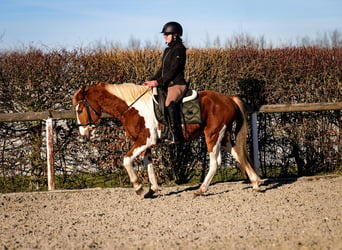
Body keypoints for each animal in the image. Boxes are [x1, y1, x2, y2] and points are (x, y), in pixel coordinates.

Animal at [73, 82, 262, 197]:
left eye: (80, 109)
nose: (83, 133)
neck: (133, 108)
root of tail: (228, 98)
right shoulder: (146, 144)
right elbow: (148, 165)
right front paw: (152, 189)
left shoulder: (145, 141)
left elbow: (126, 160)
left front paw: (138, 188)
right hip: (223, 137)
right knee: (239, 155)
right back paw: (255, 184)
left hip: (213, 134)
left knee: (216, 162)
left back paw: (201, 189)